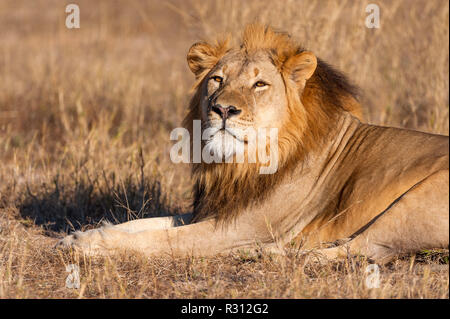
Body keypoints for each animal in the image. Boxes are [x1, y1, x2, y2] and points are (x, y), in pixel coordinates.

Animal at [58, 24, 448, 264]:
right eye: (217, 79)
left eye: (260, 84)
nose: (223, 109)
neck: (239, 164)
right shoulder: (212, 211)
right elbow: (140, 223)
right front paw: (79, 235)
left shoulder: (236, 230)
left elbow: (156, 240)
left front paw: (89, 246)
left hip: (416, 199)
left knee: (367, 249)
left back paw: (274, 254)